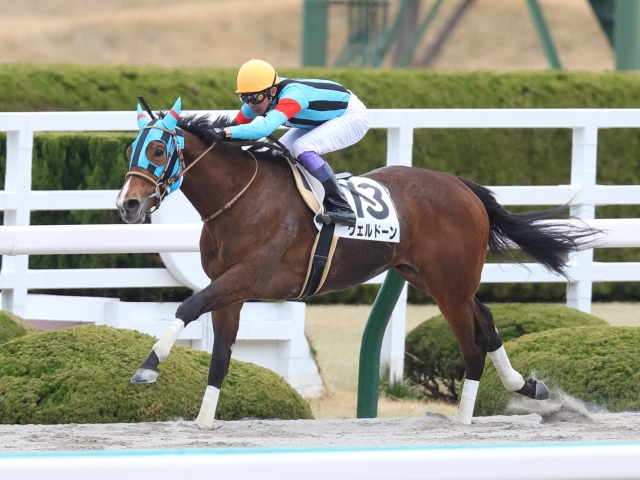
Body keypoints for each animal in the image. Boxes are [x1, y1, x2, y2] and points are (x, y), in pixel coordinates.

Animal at [116, 99, 596, 430]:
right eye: (129, 150)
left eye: (157, 149)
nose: (128, 205)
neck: (240, 198)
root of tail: (463, 186)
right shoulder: (230, 289)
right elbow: (220, 355)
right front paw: (202, 422)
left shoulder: (246, 277)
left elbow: (187, 307)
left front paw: (147, 367)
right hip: (428, 277)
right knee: (488, 321)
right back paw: (525, 386)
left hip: (448, 284)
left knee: (473, 343)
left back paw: (463, 420)